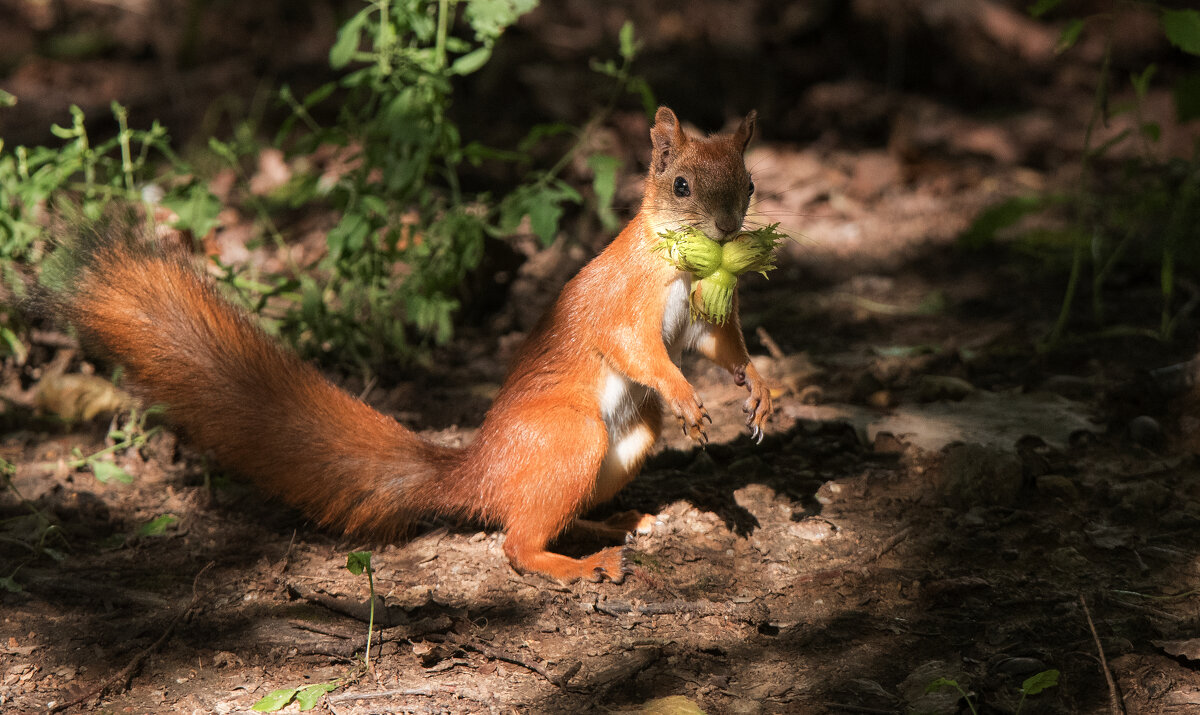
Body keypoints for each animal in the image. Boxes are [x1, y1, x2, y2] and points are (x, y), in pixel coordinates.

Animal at [51, 107, 772, 585]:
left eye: (749, 183)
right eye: (680, 185)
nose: (725, 227)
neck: (682, 262)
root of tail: (481, 470)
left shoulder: (702, 320)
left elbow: (720, 346)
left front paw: (760, 388)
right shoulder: (624, 305)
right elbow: (640, 350)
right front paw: (690, 399)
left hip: (628, 442)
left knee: (535, 516)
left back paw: (610, 525)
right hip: (574, 437)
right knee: (515, 541)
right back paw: (579, 563)